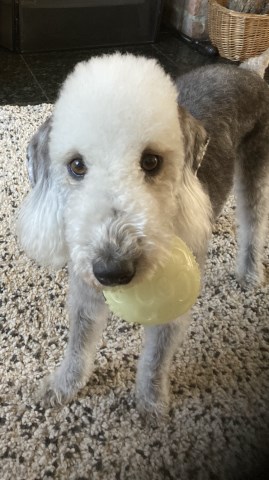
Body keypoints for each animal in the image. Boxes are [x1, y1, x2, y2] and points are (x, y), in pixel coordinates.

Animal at [16, 52, 268, 416]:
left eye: (151, 161)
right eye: (77, 165)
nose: (112, 271)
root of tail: (248, 71)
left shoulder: (174, 307)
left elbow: (156, 358)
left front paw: (151, 404)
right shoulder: (85, 290)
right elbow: (78, 343)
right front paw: (62, 387)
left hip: (255, 164)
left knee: (253, 223)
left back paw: (249, 272)